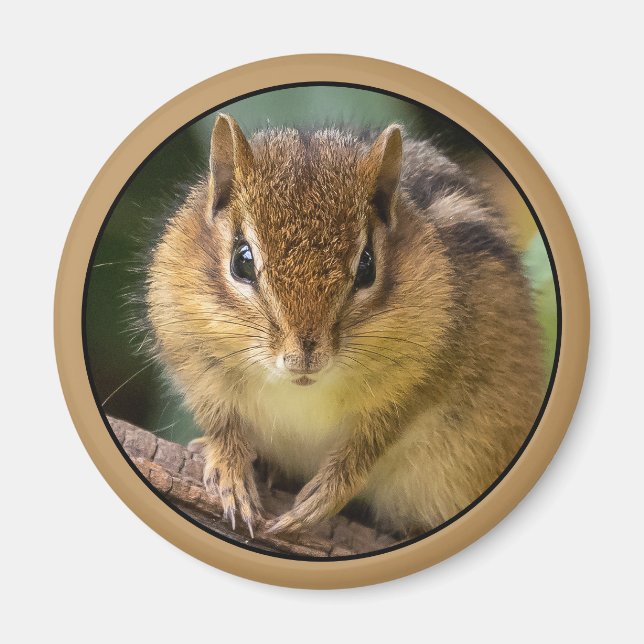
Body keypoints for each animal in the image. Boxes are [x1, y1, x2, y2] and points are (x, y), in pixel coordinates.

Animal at [145, 113, 546, 538]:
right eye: (242, 261)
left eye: (367, 266)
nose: (304, 356)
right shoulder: (189, 349)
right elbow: (219, 420)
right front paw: (229, 469)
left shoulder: (429, 372)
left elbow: (374, 440)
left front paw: (325, 495)